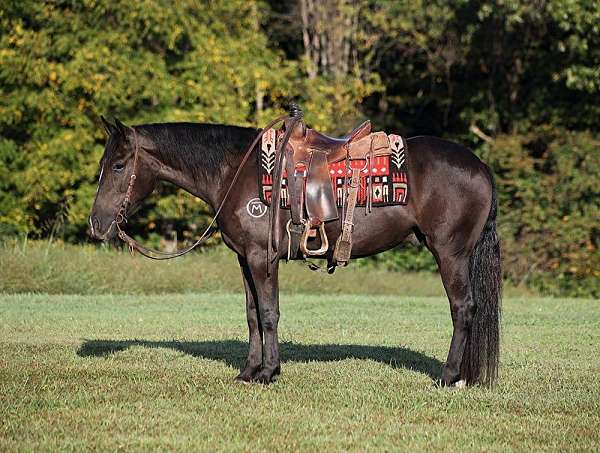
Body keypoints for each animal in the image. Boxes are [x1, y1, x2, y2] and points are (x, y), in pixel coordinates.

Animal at [90, 116, 502, 384]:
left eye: (119, 165)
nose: (96, 224)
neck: (236, 172)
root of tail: (481, 166)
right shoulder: (244, 258)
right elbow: (252, 315)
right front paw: (248, 371)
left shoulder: (262, 257)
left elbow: (269, 313)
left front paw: (268, 372)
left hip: (450, 253)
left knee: (463, 309)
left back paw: (448, 376)